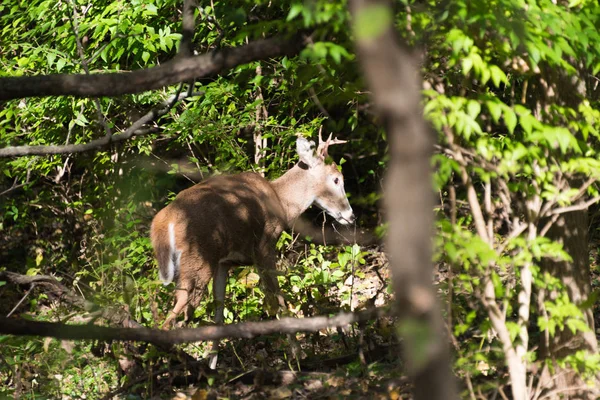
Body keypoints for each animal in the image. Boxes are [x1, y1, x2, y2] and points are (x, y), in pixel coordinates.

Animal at [150, 132, 354, 368]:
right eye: (336, 179)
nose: (351, 216)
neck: (282, 202)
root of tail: (163, 222)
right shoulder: (264, 247)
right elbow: (278, 300)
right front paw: (298, 355)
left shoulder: (224, 262)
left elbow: (219, 316)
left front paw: (213, 366)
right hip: (198, 260)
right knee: (174, 316)